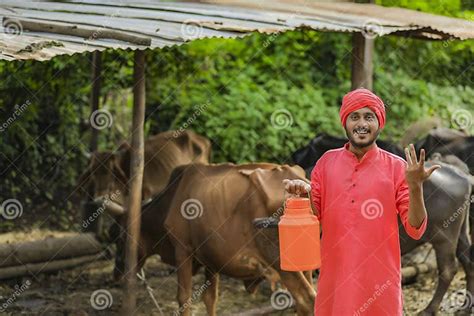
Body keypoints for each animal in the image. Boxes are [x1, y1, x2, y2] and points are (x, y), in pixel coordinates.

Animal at [133, 163, 316, 316]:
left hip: (279, 259)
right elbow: (210, 298)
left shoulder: (182, 249)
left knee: (306, 300)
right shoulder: (211, 258)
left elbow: (184, 298)